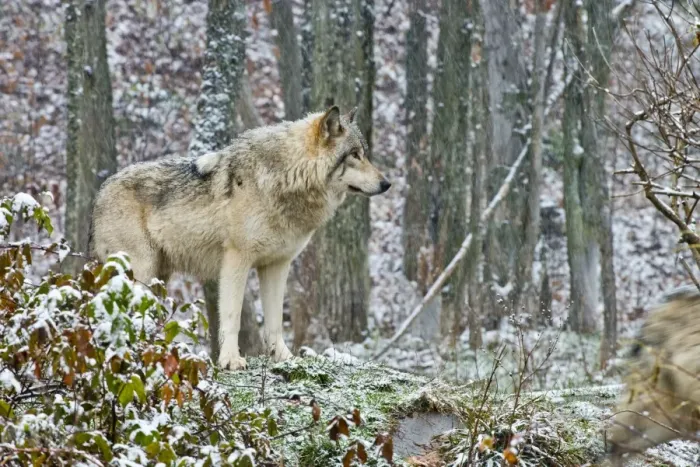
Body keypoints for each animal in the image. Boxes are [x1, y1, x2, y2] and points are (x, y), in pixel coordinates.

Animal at [90, 106, 390, 370]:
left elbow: (274, 321)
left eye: (364, 154)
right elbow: (232, 316)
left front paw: (284, 358)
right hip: (142, 272)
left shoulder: (277, 266)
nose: (387, 183)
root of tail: (100, 192)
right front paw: (231, 361)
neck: (283, 179)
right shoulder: (236, 260)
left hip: (157, 278)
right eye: (355, 155)